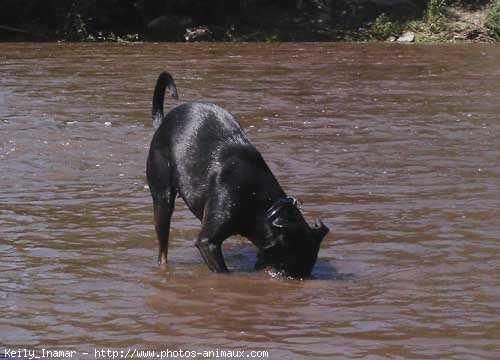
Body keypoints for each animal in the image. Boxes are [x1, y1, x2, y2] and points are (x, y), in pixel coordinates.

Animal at [146, 71, 330, 278]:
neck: (266, 209)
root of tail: (162, 124)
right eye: (287, 265)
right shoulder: (207, 243)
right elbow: (222, 271)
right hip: (162, 197)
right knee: (162, 250)